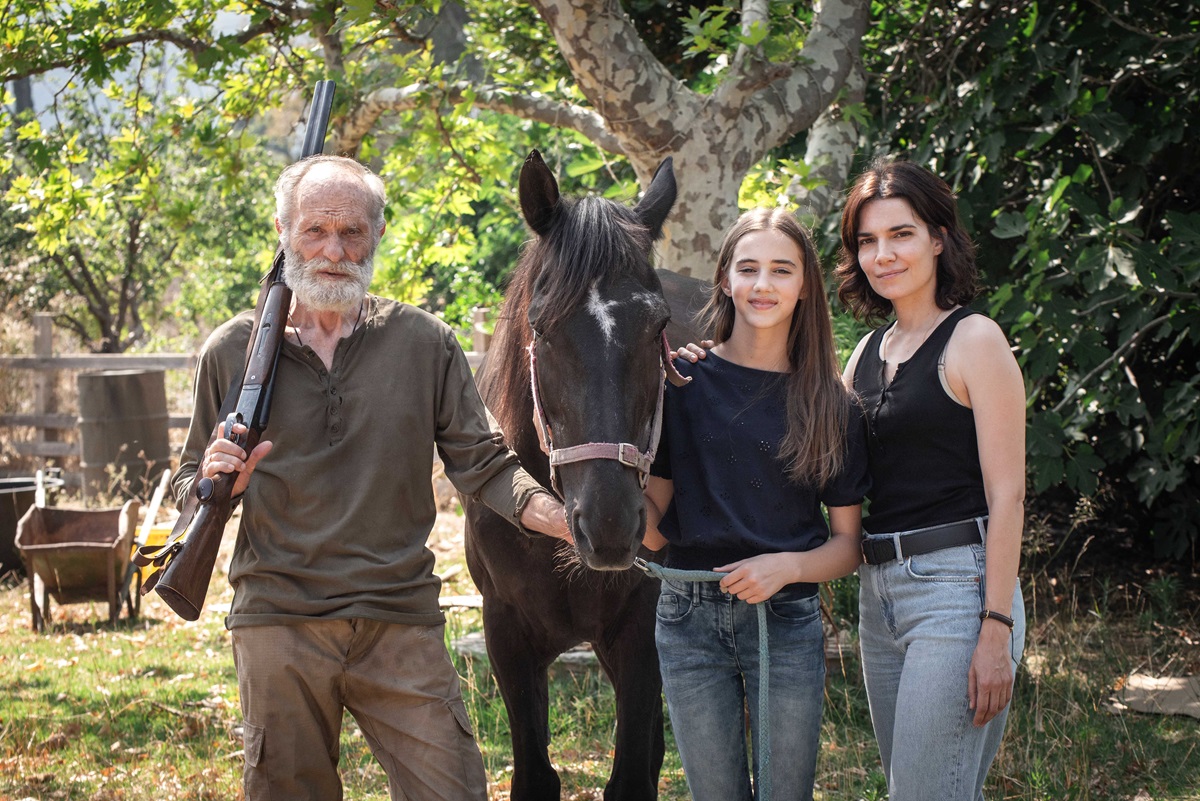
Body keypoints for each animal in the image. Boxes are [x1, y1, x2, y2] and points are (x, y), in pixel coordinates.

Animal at [460, 151, 700, 801]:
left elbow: (633, 774)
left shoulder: (640, 631)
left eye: (659, 327)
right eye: (541, 328)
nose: (610, 526)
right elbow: (534, 777)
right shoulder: (506, 633)